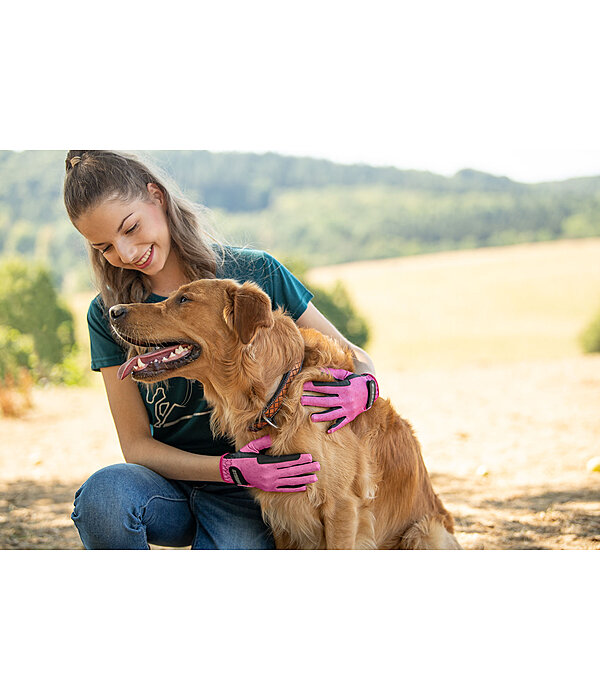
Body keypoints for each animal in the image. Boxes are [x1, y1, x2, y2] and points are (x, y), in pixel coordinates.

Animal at [110, 280, 462, 552]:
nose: (113, 311)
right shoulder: (281, 508)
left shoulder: (343, 508)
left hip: (424, 532)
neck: (276, 393)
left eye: (184, 299)